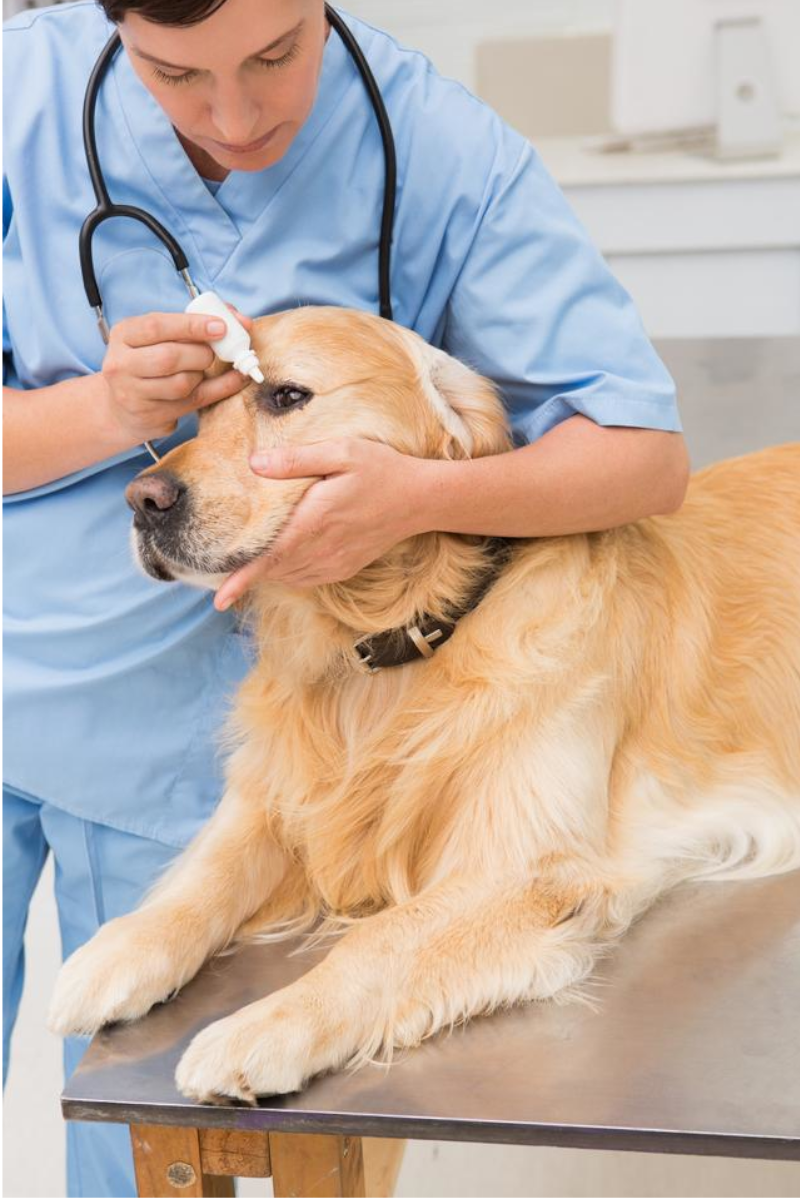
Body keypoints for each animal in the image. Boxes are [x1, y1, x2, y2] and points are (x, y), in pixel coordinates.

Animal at [45, 304, 800, 1099]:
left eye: (285, 396)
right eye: (199, 410)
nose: (142, 501)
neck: (394, 638)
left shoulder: (531, 872)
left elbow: (380, 939)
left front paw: (263, 1028)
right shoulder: (279, 791)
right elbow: (206, 874)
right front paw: (117, 949)